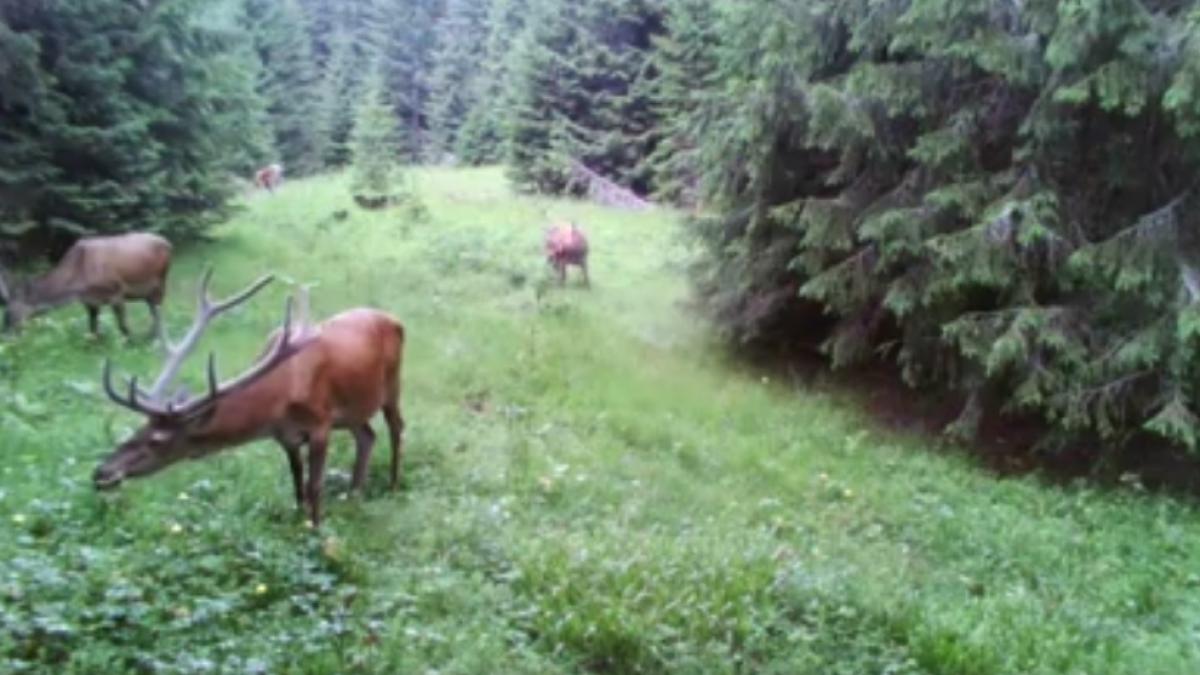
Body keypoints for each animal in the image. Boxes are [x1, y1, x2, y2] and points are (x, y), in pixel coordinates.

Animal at [0, 230, 174, 336]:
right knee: (154, 309)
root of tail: (168, 243)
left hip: (161, 281)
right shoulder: (89, 301)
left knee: (158, 310)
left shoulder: (117, 292)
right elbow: (92, 329)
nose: (6, 335)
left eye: (9, 314)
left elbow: (123, 327)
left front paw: (131, 343)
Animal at [92, 267, 408, 526]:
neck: (279, 400)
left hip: (392, 384)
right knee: (367, 435)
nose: (102, 473)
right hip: (354, 410)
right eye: (140, 428)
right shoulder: (285, 437)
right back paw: (354, 495)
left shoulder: (321, 423)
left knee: (396, 427)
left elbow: (314, 487)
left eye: (157, 440)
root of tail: (395, 320)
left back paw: (393, 486)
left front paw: (316, 531)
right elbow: (297, 484)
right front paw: (300, 523)